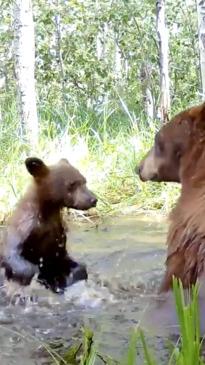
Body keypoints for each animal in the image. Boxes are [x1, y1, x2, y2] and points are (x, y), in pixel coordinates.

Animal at [1, 156, 97, 292]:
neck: (47, 212)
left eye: (84, 180)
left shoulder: (56, 233)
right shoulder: (24, 229)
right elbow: (13, 256)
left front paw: (74, 272)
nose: (93, 199)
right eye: (72, 184)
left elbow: (62, 258)